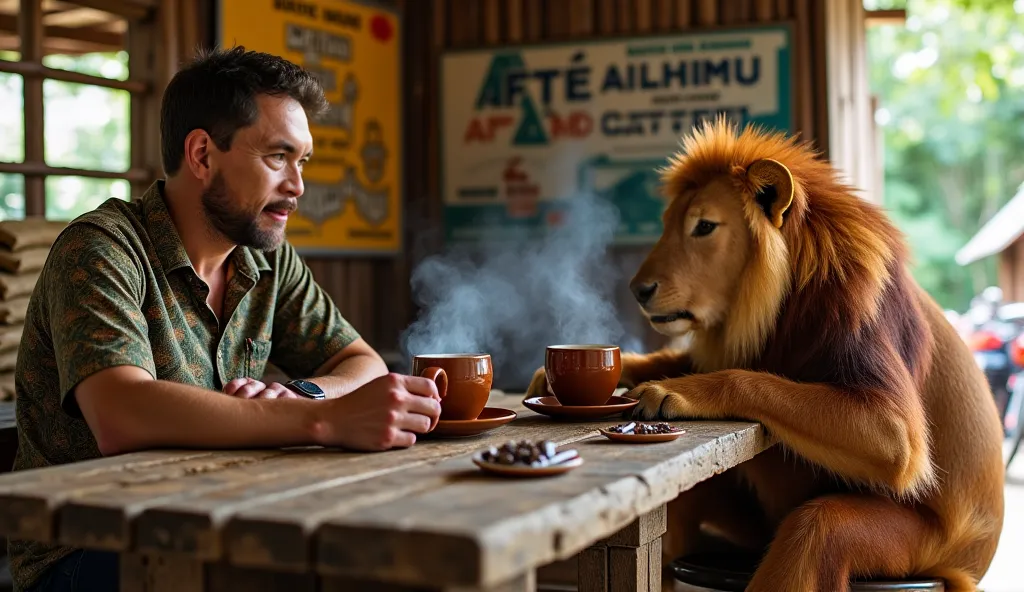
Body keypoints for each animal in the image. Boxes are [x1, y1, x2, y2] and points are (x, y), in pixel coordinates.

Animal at [532, 117, 1003, 585]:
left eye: (704, 226)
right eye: (666, 224)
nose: (638, 290)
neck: (782, 298)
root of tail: (968, 564)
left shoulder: (880, 381)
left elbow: (752, 381)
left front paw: (672, 392)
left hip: (908, 547)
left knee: (815, 529)